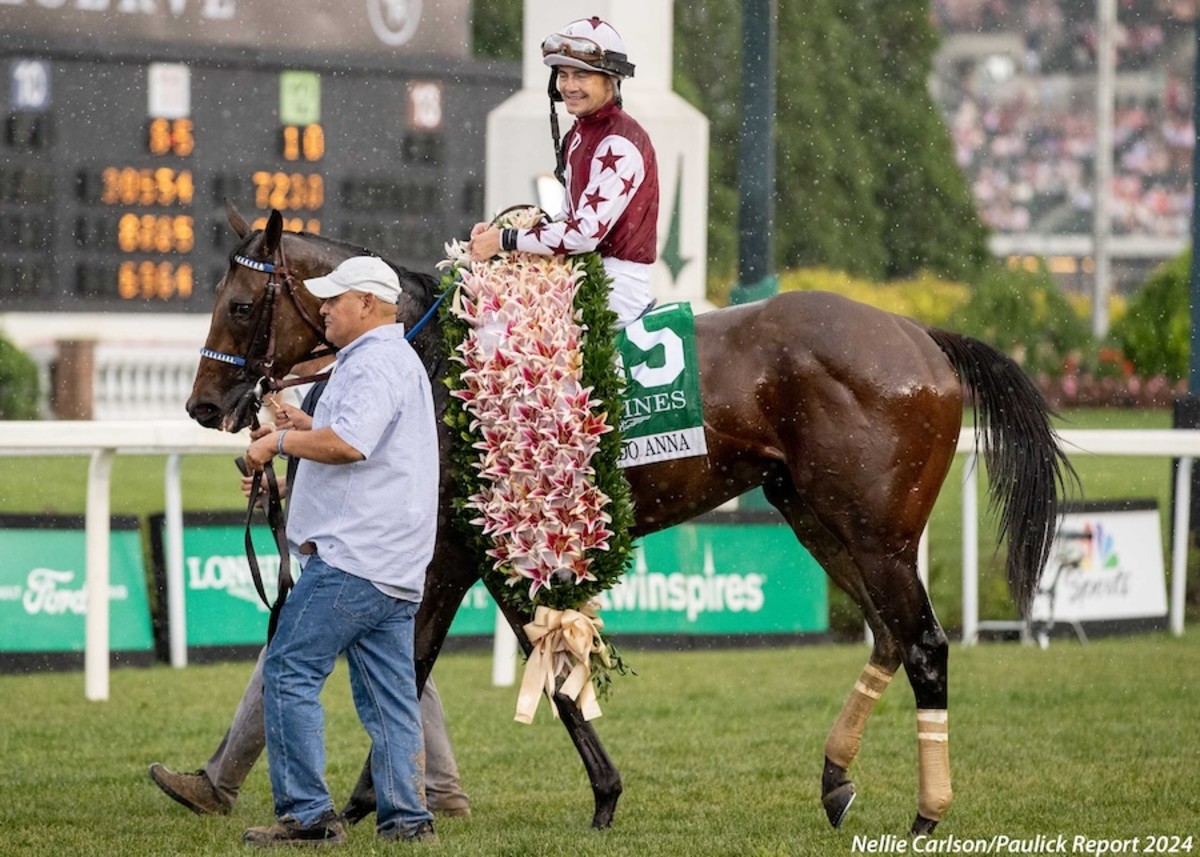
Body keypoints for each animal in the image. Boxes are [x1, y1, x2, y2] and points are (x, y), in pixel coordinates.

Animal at [189, 208, 1080, 835]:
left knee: (924, 643)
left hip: (875, 532)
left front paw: (368, 800)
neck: (439, 357)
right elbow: (484, 663)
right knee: (891, 637)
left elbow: (439, 664)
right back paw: (835, 778)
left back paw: (928, 810)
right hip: (819, 519)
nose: (203, 405)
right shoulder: (479, 545)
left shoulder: (459, 545)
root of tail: (920, 335)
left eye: (240, 303)